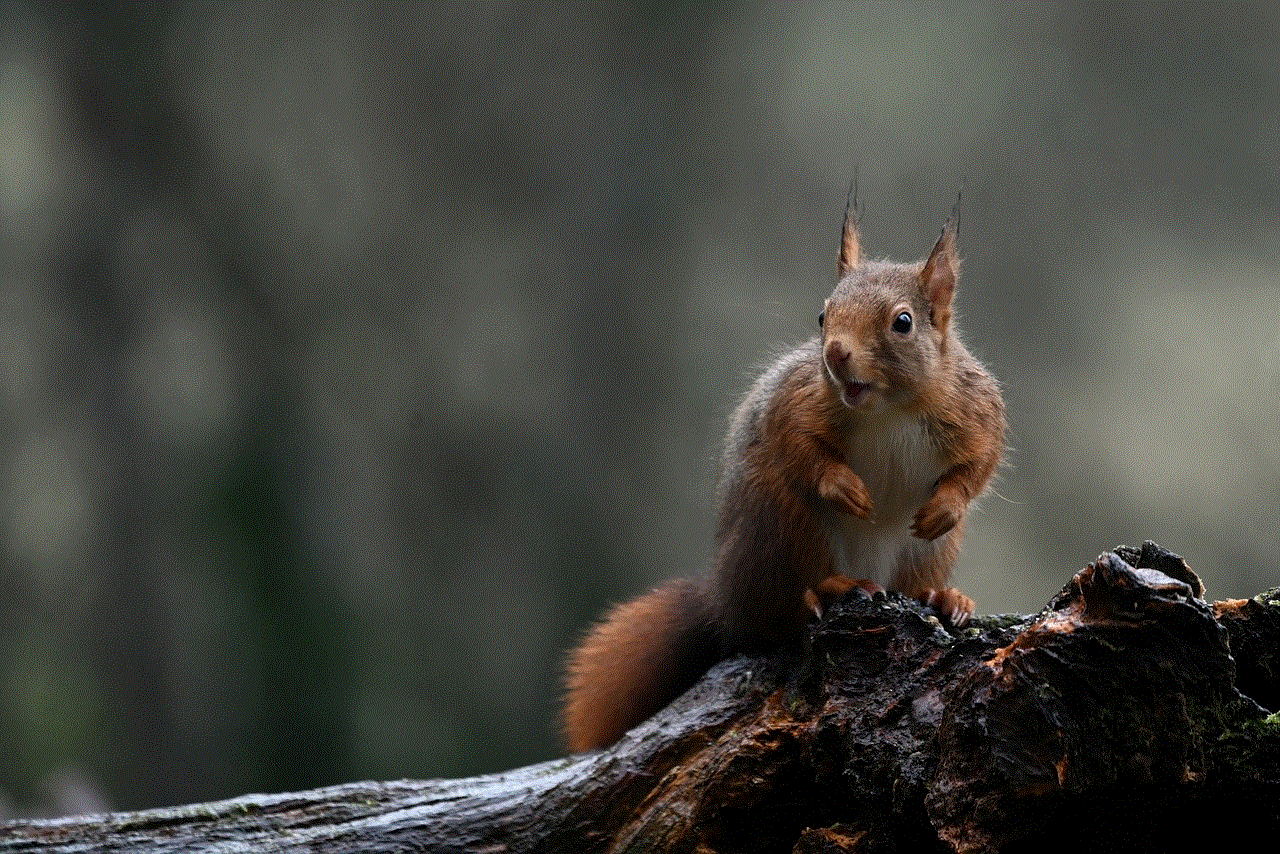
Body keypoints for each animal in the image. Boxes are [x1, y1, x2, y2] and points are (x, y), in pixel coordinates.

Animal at [565, 195, 1003, 752]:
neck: (888, 408)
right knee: (774, 618)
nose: (835, 353)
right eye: (823, 315)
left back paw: (942, 598)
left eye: (902, 323)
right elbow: (799, 445)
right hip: (784, 524)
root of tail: (723, 600)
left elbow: (979, 462)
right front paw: (845, 487)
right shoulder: (797, 400)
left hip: (922, 553)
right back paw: (827, 591)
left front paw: (946, 506)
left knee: (908, 583)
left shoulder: (976, 409)